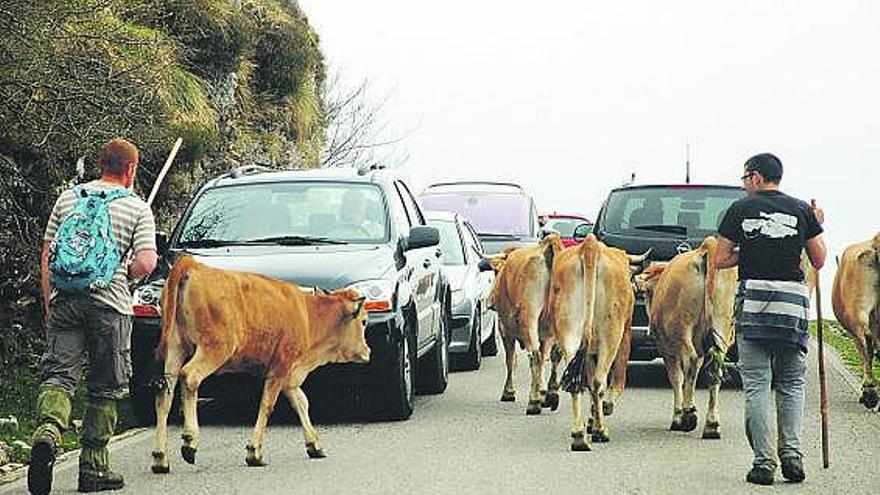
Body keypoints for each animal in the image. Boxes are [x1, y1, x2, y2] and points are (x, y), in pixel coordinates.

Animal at [152, 256, 372, 472]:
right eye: (364, 321)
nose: (367, 351)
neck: (309, 315)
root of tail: (193, 264)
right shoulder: (280, 369)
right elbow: (267, 405)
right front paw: (254, 453)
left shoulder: (290, 377)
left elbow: (301, 403)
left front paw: (314, 445)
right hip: (214, 350)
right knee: (190, 377)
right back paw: (190, 443)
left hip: (175, 351)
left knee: (164, 395)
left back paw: (160, 459)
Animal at [488, 235, 564, 414]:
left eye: (496, 273)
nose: (490, 301)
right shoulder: (546, 334)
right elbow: (544, 358)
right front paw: (543, 392)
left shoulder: (504, 329)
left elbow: (511, 360)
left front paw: (509, 392)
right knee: (554, 355)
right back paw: (551, 394)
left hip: (529, 318)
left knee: (534, 356)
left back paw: (533, 402)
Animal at [552, 233, 640, 450]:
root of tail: (590, 247)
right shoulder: (625, 336)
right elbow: (614, 381)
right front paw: (599, 416)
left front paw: (591, 421)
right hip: (611, 336)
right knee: (599, 381)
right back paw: (600, 431)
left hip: (569, 332)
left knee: (577, 385)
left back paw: (578, 435)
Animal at [636, 238, 740, 440]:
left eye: (646, 294)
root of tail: (706, 247)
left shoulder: (667, 349)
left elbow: (676, 378)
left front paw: (677, 416)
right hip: (722, 326)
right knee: (715, 370)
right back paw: (712, 425)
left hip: (682, 330)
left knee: (688, 365)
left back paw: (688, 416)